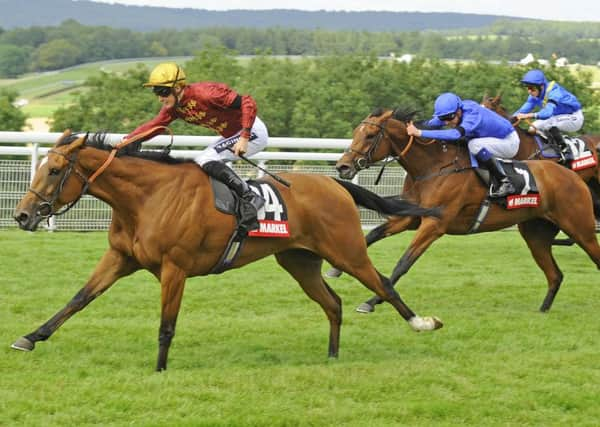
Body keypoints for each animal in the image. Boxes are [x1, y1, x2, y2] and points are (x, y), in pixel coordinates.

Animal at [9, 130, 440, 372]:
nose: (22, 214)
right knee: (332, 303)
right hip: (299, 261)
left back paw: (422, 323)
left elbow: (167, 324)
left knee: (383, 283)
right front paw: (30, 337)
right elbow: (78, 298)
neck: (147, 198)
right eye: (40, 167)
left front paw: (160, 369)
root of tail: (335, 184)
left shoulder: (175, 266)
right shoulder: (120, 258)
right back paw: (332, 356)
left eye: (53, 171)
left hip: (347, 252)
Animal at [336, 108, 600, 314]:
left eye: (370, 136)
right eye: (355, 134)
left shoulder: (435, 224)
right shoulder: (412, 216)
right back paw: (543, 309)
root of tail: (573, 176)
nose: (342, 167)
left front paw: (371, 302)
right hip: (535, 235)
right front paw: (337, 268)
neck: (434, 167)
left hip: (580, 228)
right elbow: (373, 234)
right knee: (555, 275)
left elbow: (403, 263)